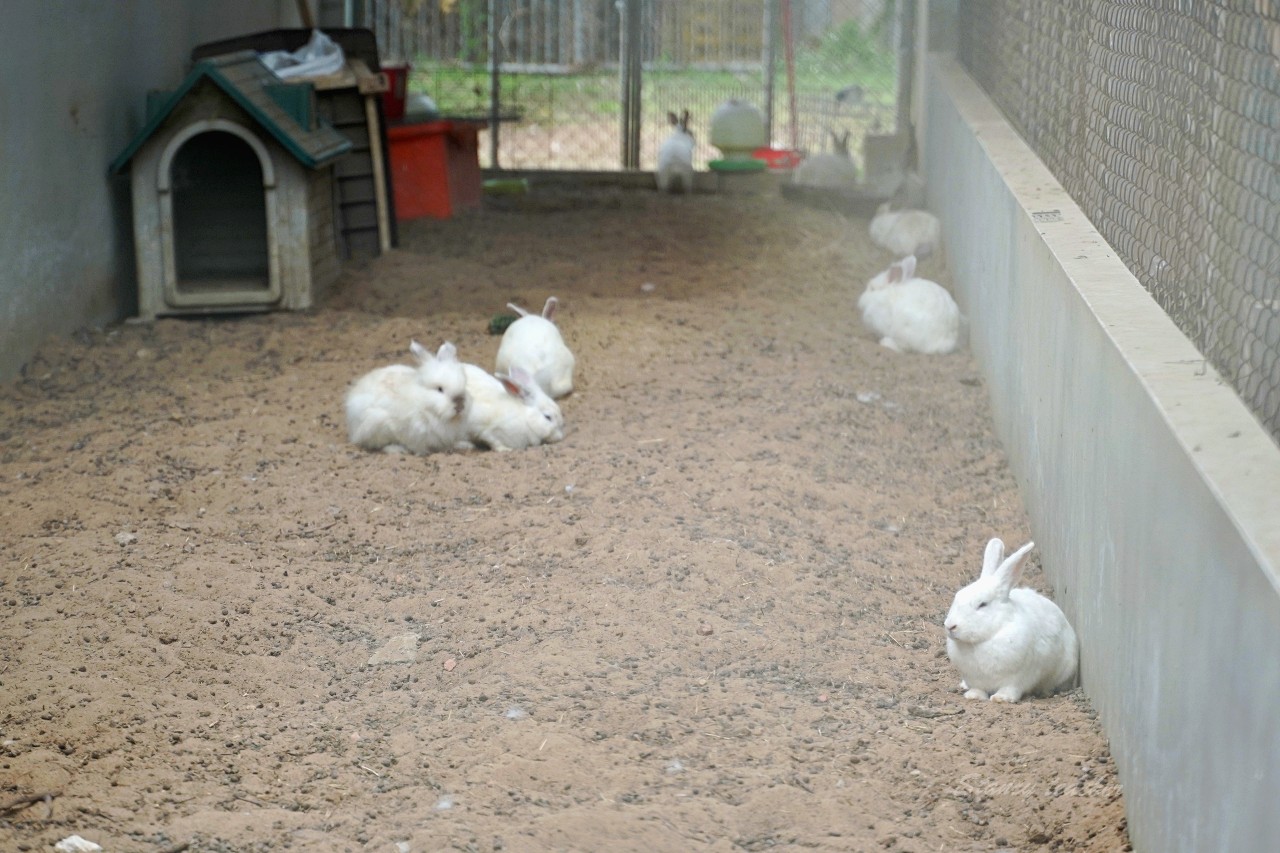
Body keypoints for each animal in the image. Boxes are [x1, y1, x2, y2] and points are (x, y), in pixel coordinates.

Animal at [942, 537, 1080, 701]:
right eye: (957, 596)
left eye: (982, 604)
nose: (950, 626)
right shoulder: (974, 679)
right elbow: (978, 688)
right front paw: (974, 696)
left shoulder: (1018, 679)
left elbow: (1010, 689)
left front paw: (1001, 699)